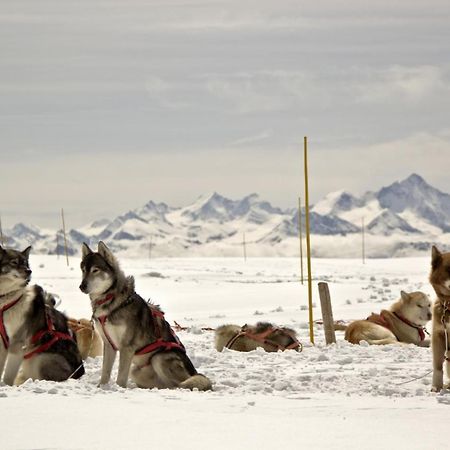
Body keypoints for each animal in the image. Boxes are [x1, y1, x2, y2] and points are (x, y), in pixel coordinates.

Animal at [0, 244, 84, 384]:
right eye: (14, 262)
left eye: (25, 263)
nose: (29, 271)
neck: (8, 301)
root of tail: (79, 374)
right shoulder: (2, 341)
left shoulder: (17, 343)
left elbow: (8, 376)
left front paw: (5, 386)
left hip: (42, 359)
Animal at [79, 243, 213, 390]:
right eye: (83, 270)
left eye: (95, 270)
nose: (81, 286)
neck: (111, 301)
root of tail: (194, 372)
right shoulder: (109, 345)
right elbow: (105, 372)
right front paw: (101, 387)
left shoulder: (127, 347)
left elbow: (121, 376)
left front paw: (119, 388)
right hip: (135, 371)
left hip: (159, 358)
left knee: (179, 384)